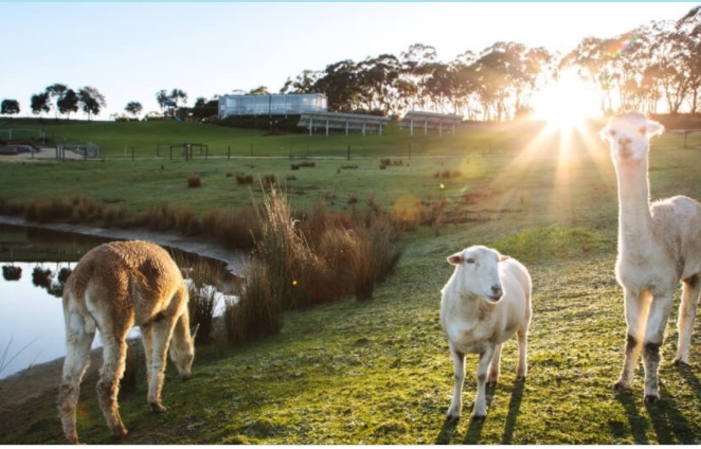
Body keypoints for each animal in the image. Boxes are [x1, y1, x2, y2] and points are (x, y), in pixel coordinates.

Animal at [438, 243, 532, 418]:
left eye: (496, 261)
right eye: (469, 260)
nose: (497, 289)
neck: (467, 317)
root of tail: (513, 259)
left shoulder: (488, 345)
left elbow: (480, 376)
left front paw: (480, 410)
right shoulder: (454, 345)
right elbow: (458, 376)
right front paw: (454, 410)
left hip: (525, 315)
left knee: (522, 341)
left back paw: (521, 371)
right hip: (498, 327)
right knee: (500, 346)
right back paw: (493, 375)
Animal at [600, 112, 700, 400]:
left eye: (642, 128)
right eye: (613, 131)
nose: (624, 141)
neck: (643, 256)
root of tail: (689, 200)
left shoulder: (663, 287)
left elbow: (652, 343)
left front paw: (652, 392)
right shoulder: (632, 288)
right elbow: (634, 339)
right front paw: (623, 382)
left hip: (695, 271)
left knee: (687, 314)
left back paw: (681, 358)